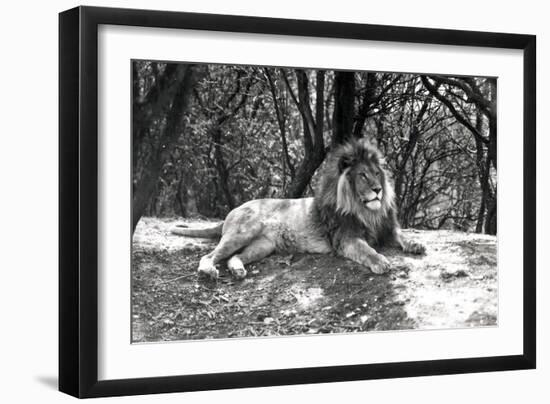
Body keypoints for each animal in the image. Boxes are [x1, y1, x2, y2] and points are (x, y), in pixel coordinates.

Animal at [172, 138, 426, 278]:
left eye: (376, 173)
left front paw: (416, 245)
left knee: (233, 258)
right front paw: (380, 261)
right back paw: (208, 271)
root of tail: (232, 211)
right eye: (363, 175)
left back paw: (237, 271)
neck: (367, 211)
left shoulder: (387, 228)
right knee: (210, 256)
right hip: (243, 232)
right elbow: (367, 250)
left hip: (263, 246)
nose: (378, 190)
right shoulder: (345, 239)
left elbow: (402, 235)